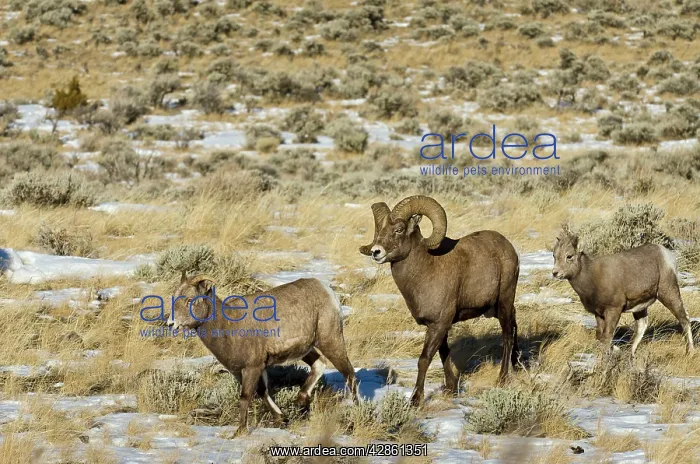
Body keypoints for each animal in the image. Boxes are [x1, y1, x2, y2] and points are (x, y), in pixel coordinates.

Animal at [167, 272, 357, 436]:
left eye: (190, 300)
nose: (170, 324)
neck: (228, 327)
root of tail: (326, 290)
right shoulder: (250, 369)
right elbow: (262, 392)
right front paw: (281, 419)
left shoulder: (252, 368)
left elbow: (245, 397)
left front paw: (240, 432)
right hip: (308, 349)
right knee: (319, 364)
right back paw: (300, 400)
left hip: (330, 341)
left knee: (349, 374)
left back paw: (353, 409)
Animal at [359, 195, 520, 406]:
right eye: (380, 230)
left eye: (399, 229)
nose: (376, 252)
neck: (426, 270)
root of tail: (510, 249)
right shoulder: (438, 326)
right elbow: (444, 354)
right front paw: (451, 388)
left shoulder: (438, 324)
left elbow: (424, 359)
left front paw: (416, 400)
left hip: (504, 302)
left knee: (507, 335)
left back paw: (502, 378)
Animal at [552, 227, 695, 356]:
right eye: (554, 256)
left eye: (569, 256)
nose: (555, 273)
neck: (592, 277)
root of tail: (667, 254)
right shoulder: (599, 314)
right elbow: (600, 336)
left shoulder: (613, 310)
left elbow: (607, 337)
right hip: (641, 307)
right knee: (641, 327)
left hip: (668, 292)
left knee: (684, 318)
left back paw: (690, 351)